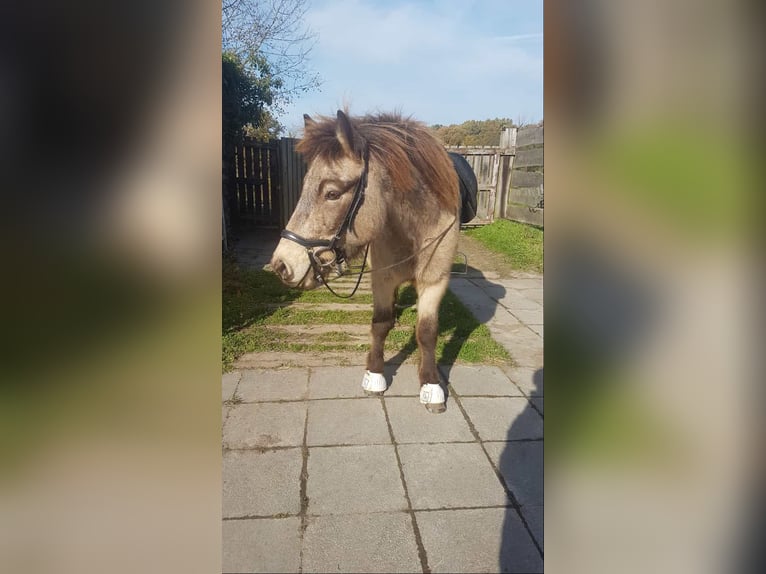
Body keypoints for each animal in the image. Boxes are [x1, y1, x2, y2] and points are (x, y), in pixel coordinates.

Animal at [270, 109, 462, 414]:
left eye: (332, 193)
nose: (281, 265)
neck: (413, 231)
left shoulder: (435, 281)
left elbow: (427, 331)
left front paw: (431, 385)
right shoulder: (382, 278)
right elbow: (380, 324)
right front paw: (375, 374)